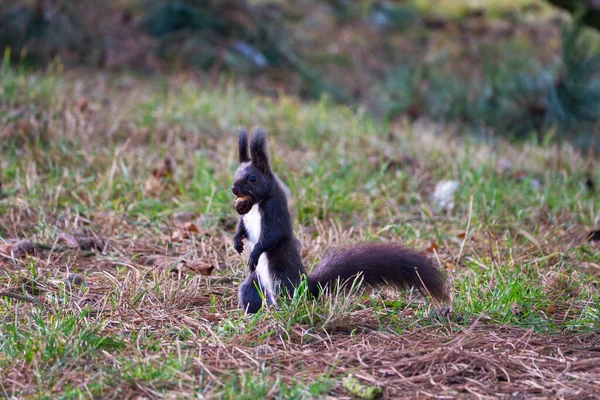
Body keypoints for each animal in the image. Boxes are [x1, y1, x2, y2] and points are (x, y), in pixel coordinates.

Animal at [232, 126, 448, 314]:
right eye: (235, 173)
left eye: (252, 179)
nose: (234, 189)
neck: (256, 204)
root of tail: (308, 287)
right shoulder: (246, 216)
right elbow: (242, 228)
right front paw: (236, 242)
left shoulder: (274, 210)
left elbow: (272, 236)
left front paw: (254, 253)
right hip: (255, 283)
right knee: (250, 294)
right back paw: (253, 315)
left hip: (281, 280)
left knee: (285, 296)